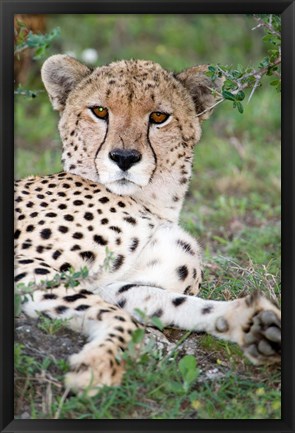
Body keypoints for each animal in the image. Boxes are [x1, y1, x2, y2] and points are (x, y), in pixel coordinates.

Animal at [14, 54, 282, 394]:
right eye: (99, 111)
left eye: (158, 116)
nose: (124, 157)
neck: (152, 202)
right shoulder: (25, 263)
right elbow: (122, 318)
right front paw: (98, 365)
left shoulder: (113, 285)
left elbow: (176, 303)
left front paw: (253, 324)